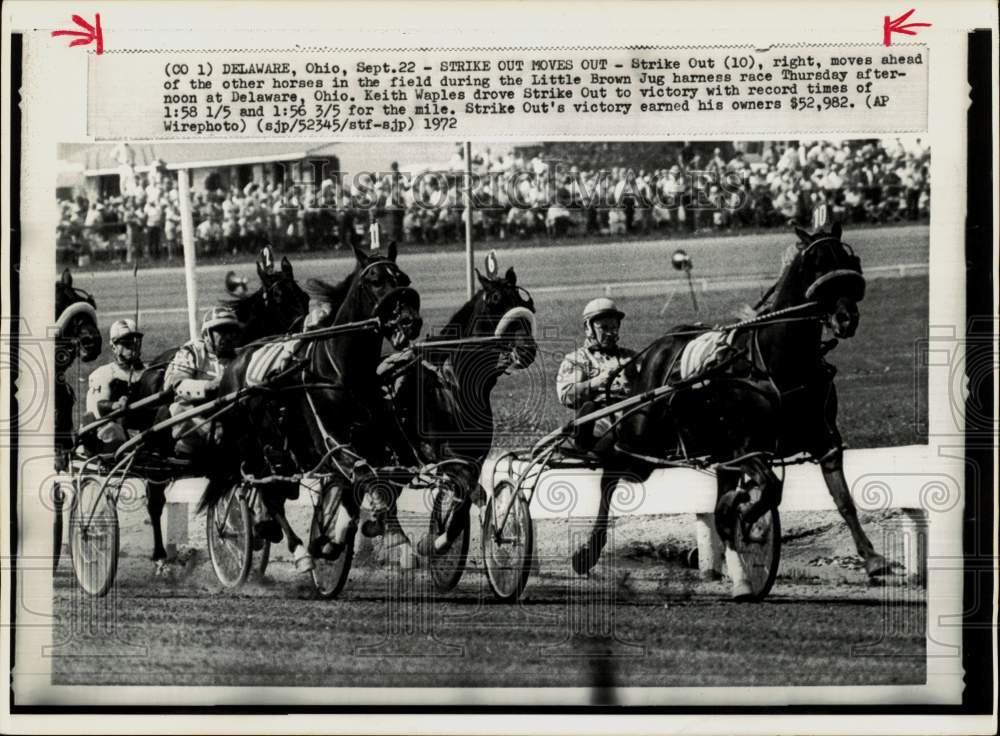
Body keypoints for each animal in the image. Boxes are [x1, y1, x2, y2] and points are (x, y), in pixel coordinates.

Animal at [199, 247, 422, 580]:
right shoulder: (332, 443)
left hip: (280, 456)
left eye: (403, 278)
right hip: (252, 448)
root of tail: (234, 367)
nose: (409, 321)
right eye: (375, 280)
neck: (342, 372)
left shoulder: (374, 442)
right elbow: (363, 478)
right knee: (262, 491)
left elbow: (371, 483)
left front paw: (339, 538)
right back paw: (294, 550)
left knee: (274, 491)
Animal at [386, 258, 536, 580]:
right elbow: (463, 493)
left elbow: (467, 497)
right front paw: (434, 542)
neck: (453, 385)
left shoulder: (473, 460)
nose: (527, 349)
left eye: (525, 302)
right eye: (494, 300)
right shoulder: (443, 455)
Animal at [576, 224, 896, 600]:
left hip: (703, 450)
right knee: (609, 474)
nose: (846, 318)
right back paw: (587, 552)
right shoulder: (747, 448)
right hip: (642, 445)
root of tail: (654, 351)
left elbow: (843, 499)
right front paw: (745, 515)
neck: (777, 363)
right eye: (815, 263)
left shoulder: (823, 440)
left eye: (849, 260)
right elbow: (769, 489)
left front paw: (874, 560)